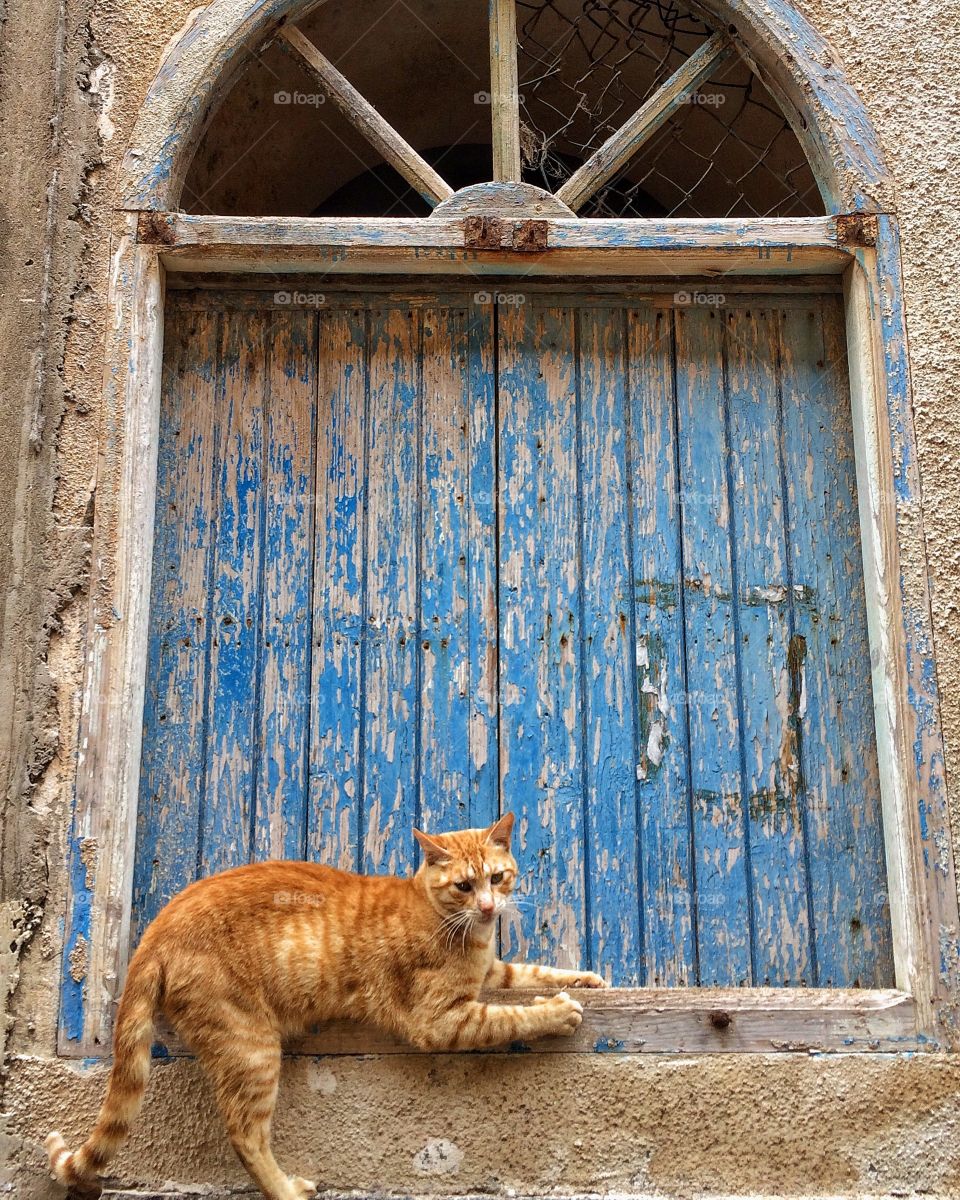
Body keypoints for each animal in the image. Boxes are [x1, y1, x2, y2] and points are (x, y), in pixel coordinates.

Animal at [46, 811, 600, 1200]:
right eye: (464, 885)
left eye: (498, 878)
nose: (488, 907)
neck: (456, 926)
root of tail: (157, 928)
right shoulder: (441, 1019)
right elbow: (511, 1015)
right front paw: (559, 1012)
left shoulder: (492, 973)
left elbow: (532, 972)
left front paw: (587, 979)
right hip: (252, 1047)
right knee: (244, 1134)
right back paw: (287, 1189)